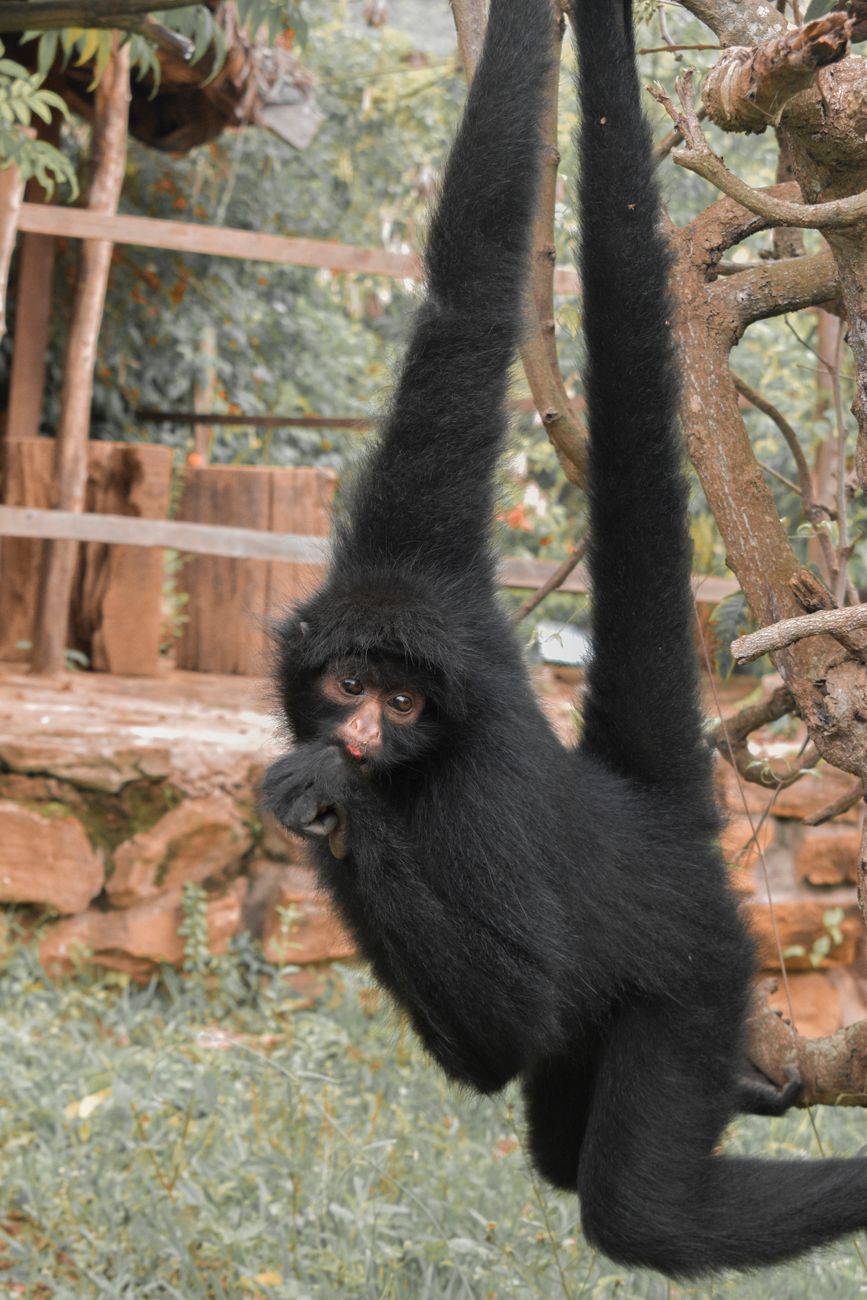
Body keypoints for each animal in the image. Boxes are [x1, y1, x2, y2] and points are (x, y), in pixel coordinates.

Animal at [262, 0, 867, 1277]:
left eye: (402, 705)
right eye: (350, 678)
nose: (360, 733)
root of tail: (655, 821)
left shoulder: (475, 794)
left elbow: (505, 1030)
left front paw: (328, 799)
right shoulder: (415, 551)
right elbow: (473, 279)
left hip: (695, 971)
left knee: (638, 1207)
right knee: (558, 1145)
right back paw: (747, 1095)